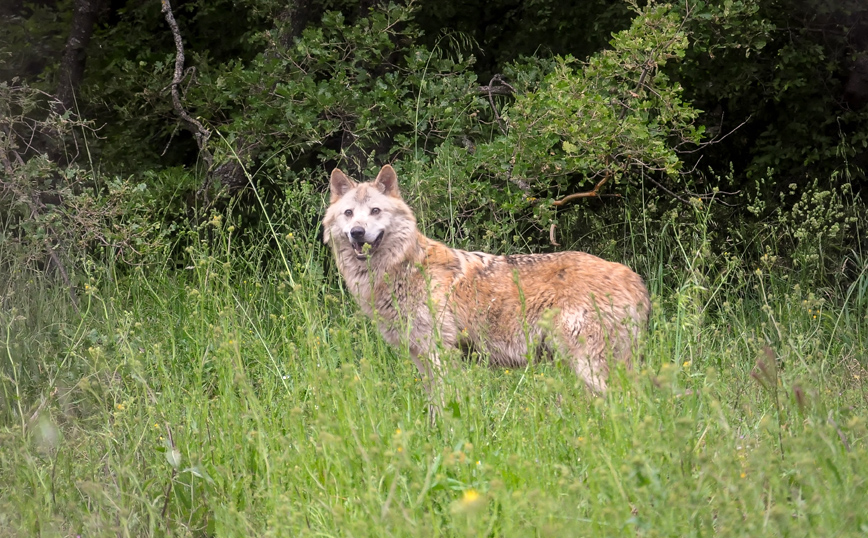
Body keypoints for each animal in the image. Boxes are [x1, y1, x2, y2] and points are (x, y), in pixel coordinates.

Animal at [326, 165, 652, 400]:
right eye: (349, 213)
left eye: (375, 211)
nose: (357, 232)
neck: (402, 270)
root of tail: (634, 277)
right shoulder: (420, 356)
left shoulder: (441, 354)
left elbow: (448, 405)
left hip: (588, 365)